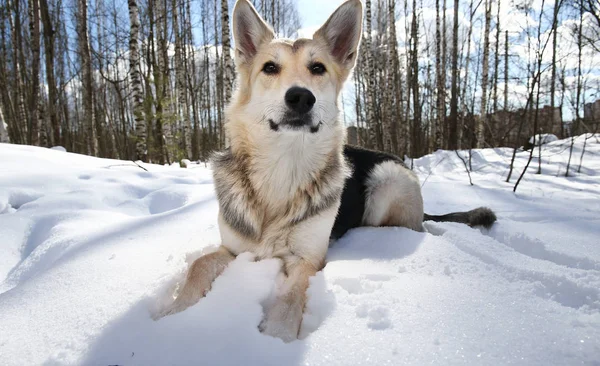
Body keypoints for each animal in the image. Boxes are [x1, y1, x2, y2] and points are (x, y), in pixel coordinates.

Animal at [155, 0, 496, 344]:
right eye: (270, 68)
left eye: (317, 68)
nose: (301, 97)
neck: (282, 169)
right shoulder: (233, 248)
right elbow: (199, 264)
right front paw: (172, 313)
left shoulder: (307, 260)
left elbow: (290, 299)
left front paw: (276, 339)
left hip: (386, 181)